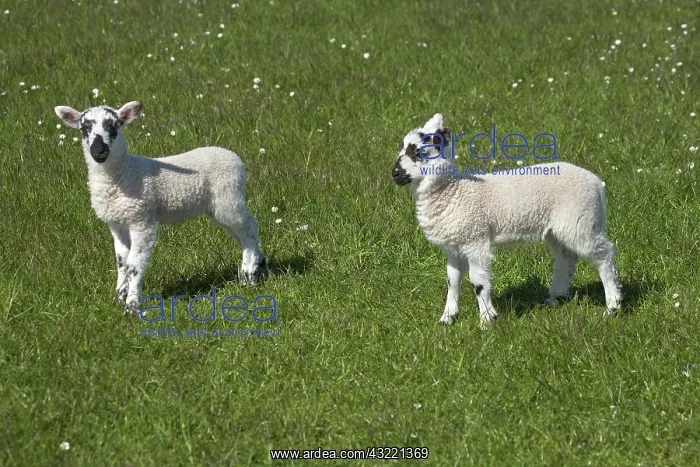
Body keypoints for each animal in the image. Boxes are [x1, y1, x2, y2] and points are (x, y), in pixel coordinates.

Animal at [54, 101, 267, 315]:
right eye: (84, 129)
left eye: (113, 126)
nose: (98, 151)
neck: (124, 172)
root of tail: (235, 158)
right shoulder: (117, 224)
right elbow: (122, 262)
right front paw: (119, 298)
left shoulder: (142, 220)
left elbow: (134, 264)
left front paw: (132, 307)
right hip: (217, 207)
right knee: (241, 233)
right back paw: (258, 265)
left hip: (228, 197)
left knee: (250, 228)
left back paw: (249, 275)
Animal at [392, 114, 622, 328]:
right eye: (403, 147)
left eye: (419, 151)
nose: (395, 173)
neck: (453, 191)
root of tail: (597, 184)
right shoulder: (455, 245)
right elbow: (452, 281)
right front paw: (447, 318)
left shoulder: (475, 240)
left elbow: (478, 282)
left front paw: (487, 320)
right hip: (559, 229)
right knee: (566, 259)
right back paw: (554, 298)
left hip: (580, 220)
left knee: (604, 256)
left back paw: (613, 306)